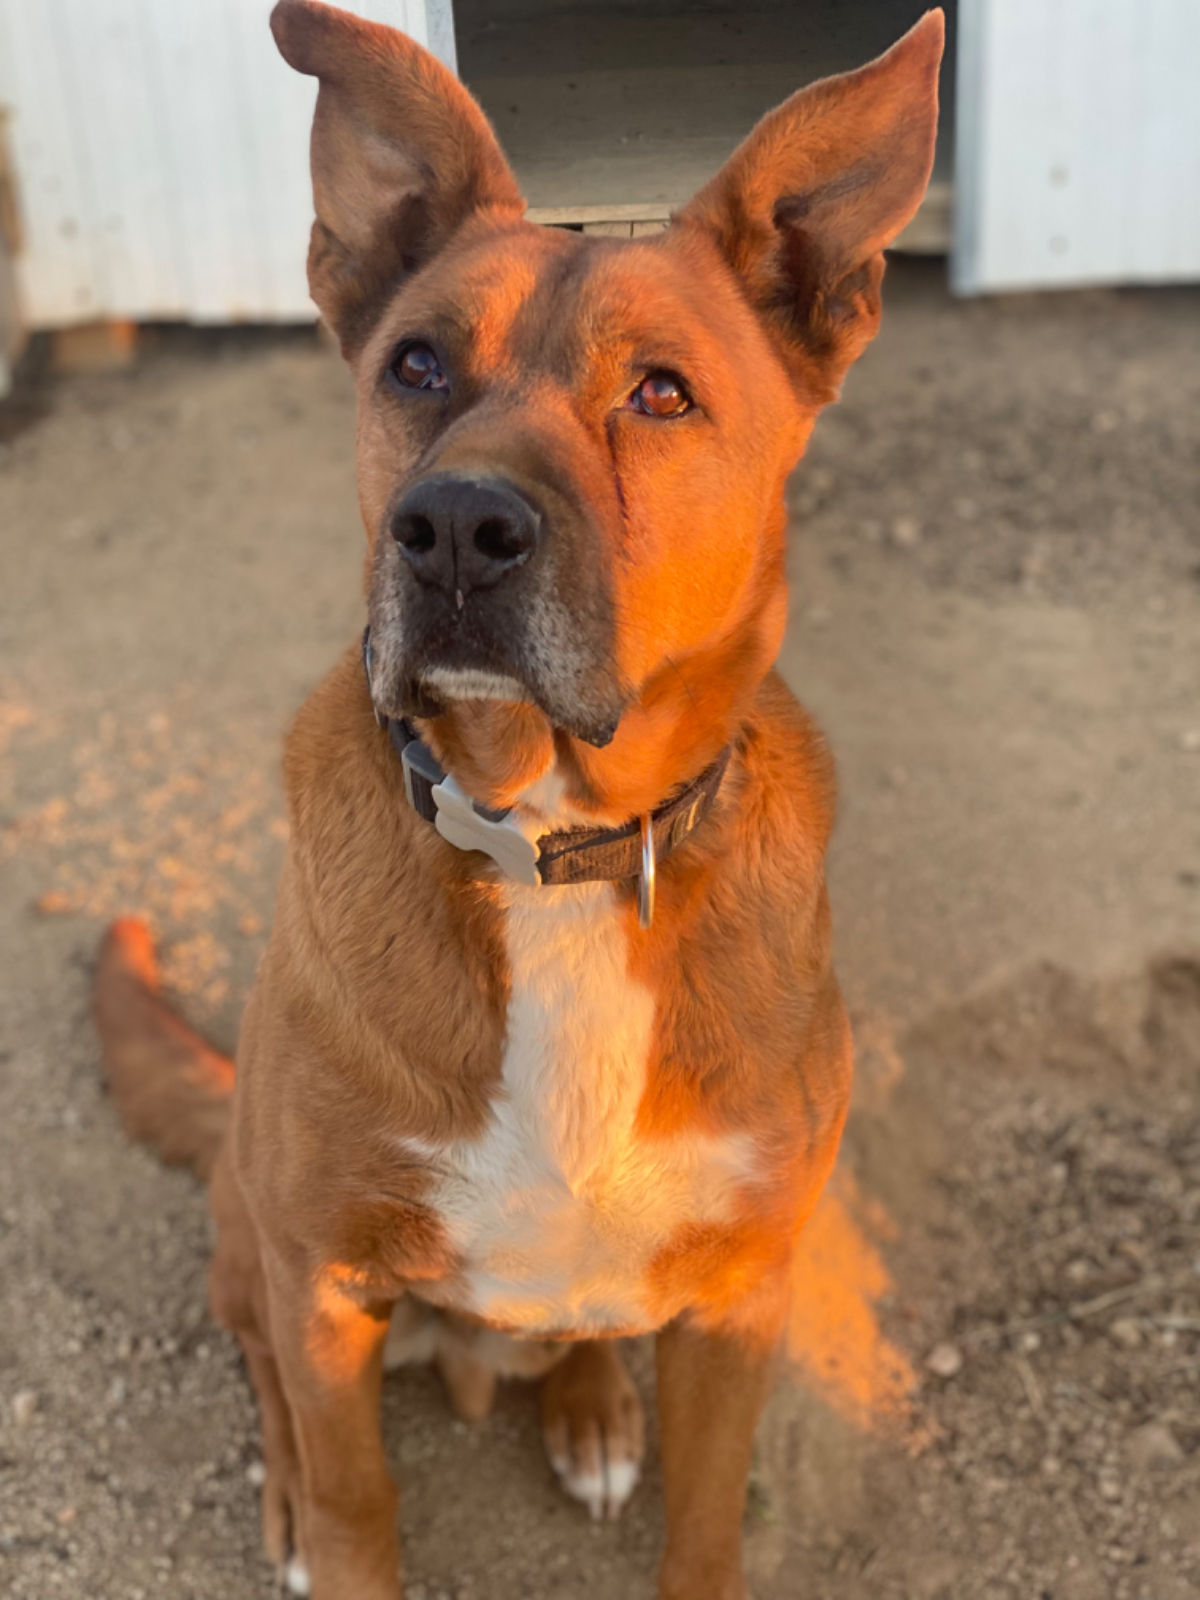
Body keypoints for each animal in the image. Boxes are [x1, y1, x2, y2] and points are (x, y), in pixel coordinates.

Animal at [93, 5, 941, 1596]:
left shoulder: (741, 1294)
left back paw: (593, 1404)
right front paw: (327, 1522)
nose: (452, 528)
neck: (549, 840)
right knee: (265, 1373)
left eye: (661, 391)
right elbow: (357, 1495)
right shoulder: (320, 1277)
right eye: (417, 365)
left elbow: (706, 1521)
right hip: (249, 1228)